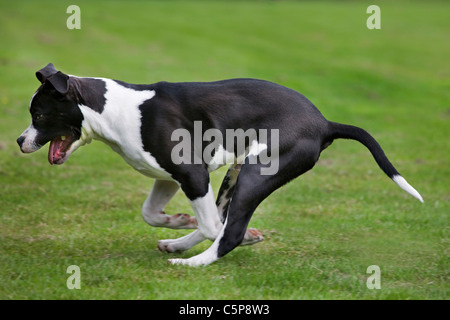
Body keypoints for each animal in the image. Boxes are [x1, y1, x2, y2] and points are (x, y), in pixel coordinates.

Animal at [16, 63, 422, 266]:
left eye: (39, 115)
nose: (20, 141)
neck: (115, 110)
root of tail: (324, 123)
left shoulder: (192, 173)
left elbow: (213, 224)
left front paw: (200, 229)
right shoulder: (169, 177)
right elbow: (152, 213)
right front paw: (179, 221)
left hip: (256, 175)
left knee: (229, 231)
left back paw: (191, 262)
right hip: (236, 174)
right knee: (224, 220)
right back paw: (179, 245)